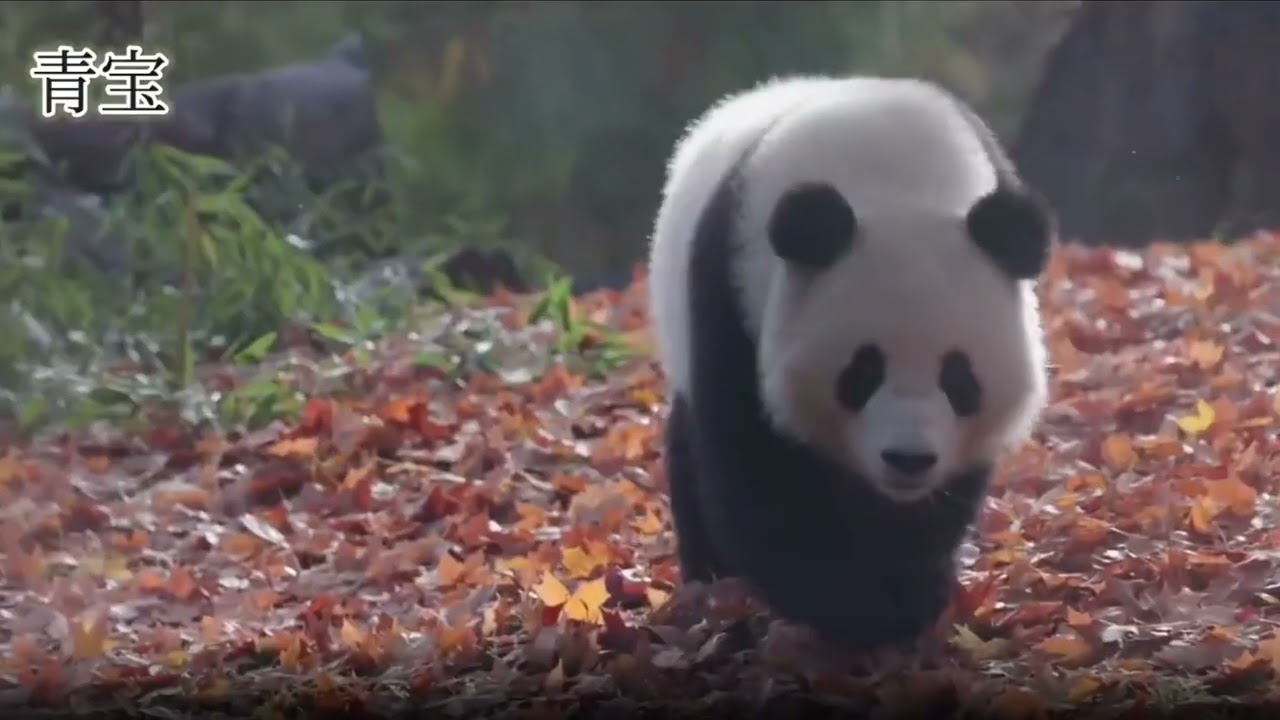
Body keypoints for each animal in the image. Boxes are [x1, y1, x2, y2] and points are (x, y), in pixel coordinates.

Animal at [647, 75, 1053, 655]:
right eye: (862, 372)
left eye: (959, 378)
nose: (908, 459)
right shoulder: (733, 298)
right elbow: (761, 483)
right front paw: (859, 610)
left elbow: (937, 509)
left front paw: (912, 591)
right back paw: (710, 590)